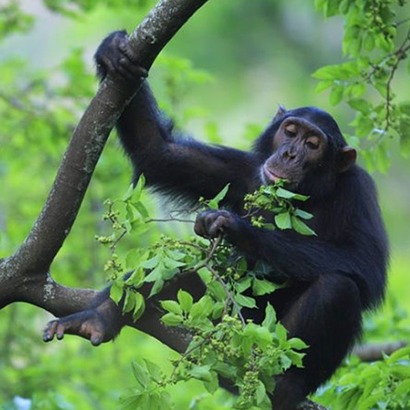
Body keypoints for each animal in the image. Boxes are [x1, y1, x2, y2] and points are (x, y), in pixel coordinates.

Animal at [43, 30, 390, 408]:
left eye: (313, 144)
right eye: (290, 131)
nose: (289, 153)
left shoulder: (360, 192)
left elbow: (363, 262)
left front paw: (234, 227)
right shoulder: (240, 172)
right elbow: (160, 153)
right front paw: (114, 51)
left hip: (264, 342)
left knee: (338, 288)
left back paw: (286, 384)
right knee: (178, 263)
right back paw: (97, 318)